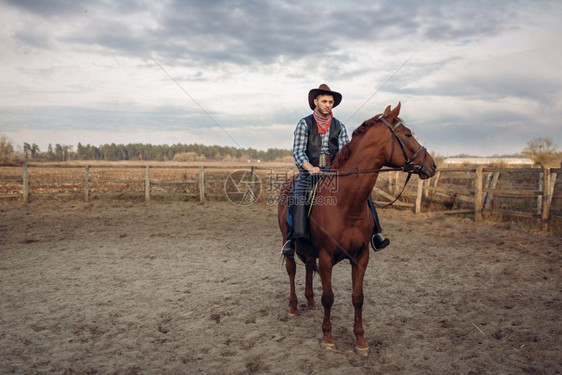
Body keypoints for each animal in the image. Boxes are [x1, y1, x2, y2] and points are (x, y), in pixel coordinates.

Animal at [278, 103, 436, 356]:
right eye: (408, 134)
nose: (432, 165)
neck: (346, 203)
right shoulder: (326, 256)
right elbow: (329, 297)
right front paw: (328, 337)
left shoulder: (361, 256)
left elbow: (358, 297)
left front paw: (361, 341)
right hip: (290, 243)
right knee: (292, 270)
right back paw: (293, 307)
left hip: (311, 250)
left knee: (308, 267)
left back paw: (310, 302)